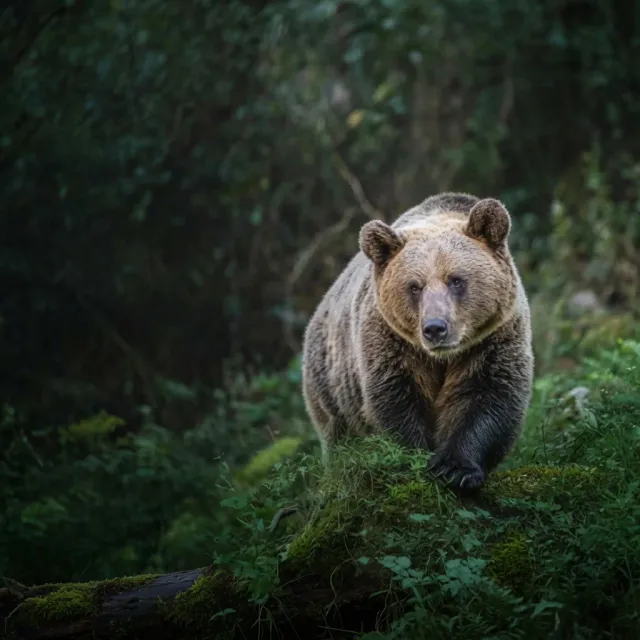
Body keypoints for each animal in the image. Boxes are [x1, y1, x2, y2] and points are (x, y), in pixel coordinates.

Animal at [301, 192, 534, 490]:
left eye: (456, 280)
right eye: (414, 286)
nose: (435, 328)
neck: (443, 357)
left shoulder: (492, 340)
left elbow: (489, 397)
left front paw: (456, 469)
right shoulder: (392, 343)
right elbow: (394, 401)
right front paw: (410, 462)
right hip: (330, 383)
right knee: (338, 437)